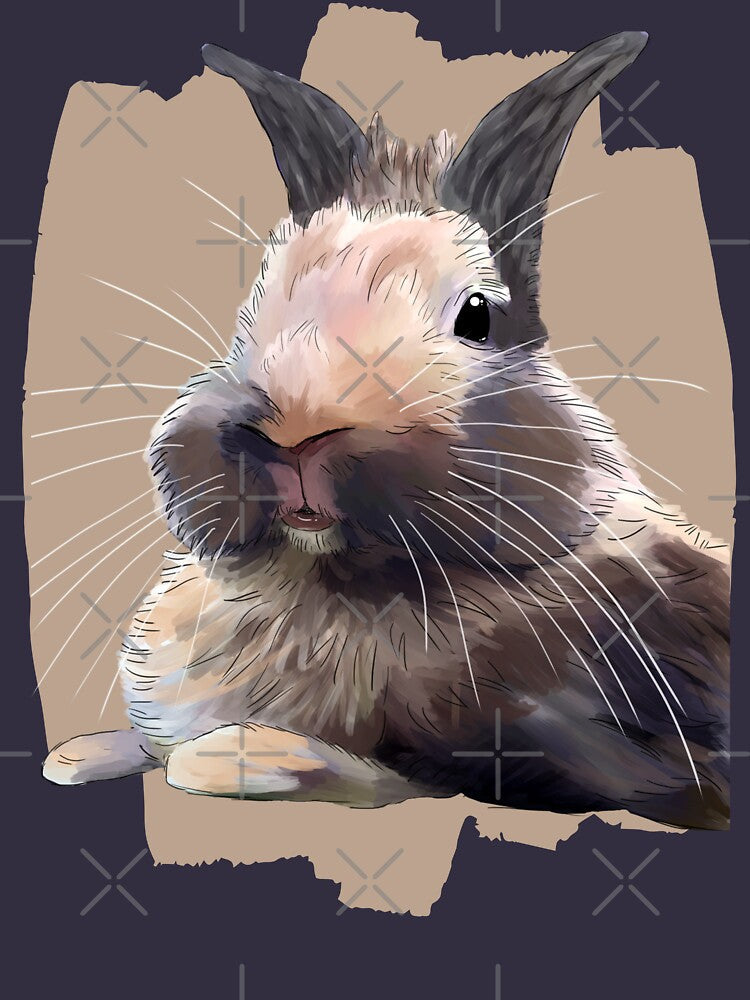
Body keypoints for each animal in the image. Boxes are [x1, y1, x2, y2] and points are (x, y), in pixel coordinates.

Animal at [43, 31, 730, 831]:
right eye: (257, 302)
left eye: (478, 317)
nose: (297, 432)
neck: (340, 583)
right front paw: (77, 755)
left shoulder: (577, 746)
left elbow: (388, 774)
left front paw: (236, 755)